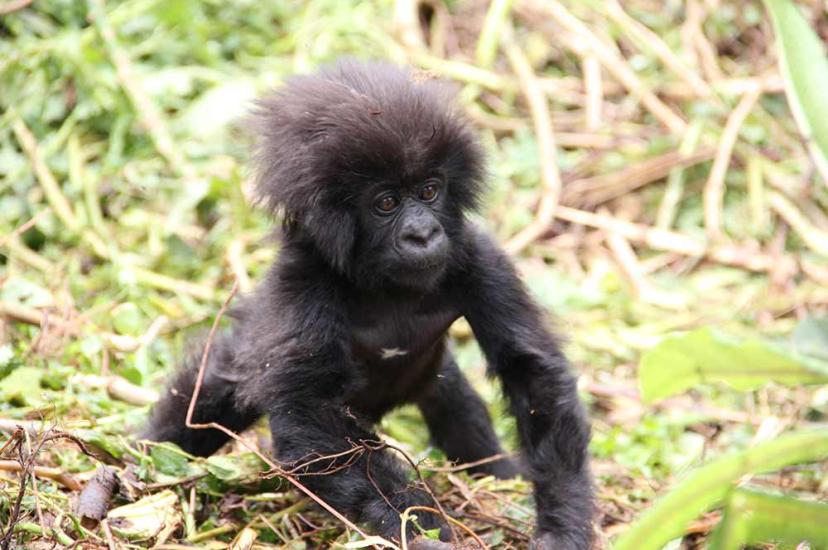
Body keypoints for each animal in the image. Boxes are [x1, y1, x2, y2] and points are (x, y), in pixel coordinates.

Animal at [143, 60, 593, 549]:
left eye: (430, 191)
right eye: (386, 203)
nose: (423, 234)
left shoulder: (479, 258)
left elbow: (531, 372)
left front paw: (564, 523)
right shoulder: (304, 282)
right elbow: (312, 418)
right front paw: (419, 525)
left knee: (455, 401)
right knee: (204, 398)